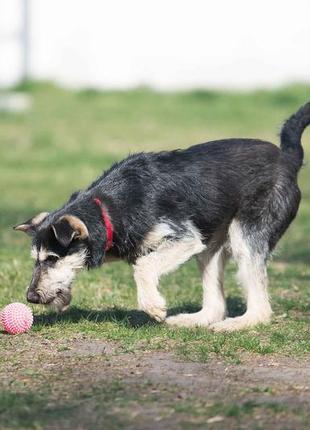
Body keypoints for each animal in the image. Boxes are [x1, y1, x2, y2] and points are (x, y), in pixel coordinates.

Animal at [14, 102, 310, 330]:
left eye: (52, 259)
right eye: (36, 260)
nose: (30, 297)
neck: (109, 210)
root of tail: (288, 157)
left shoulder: (185, 238)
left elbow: (143, 266)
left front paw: (153, 306)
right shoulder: (190, 242)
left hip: (244, 236)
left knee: (260, 305)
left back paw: (240, 323)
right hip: (210, 245)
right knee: (216, 302)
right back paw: (196, 320)